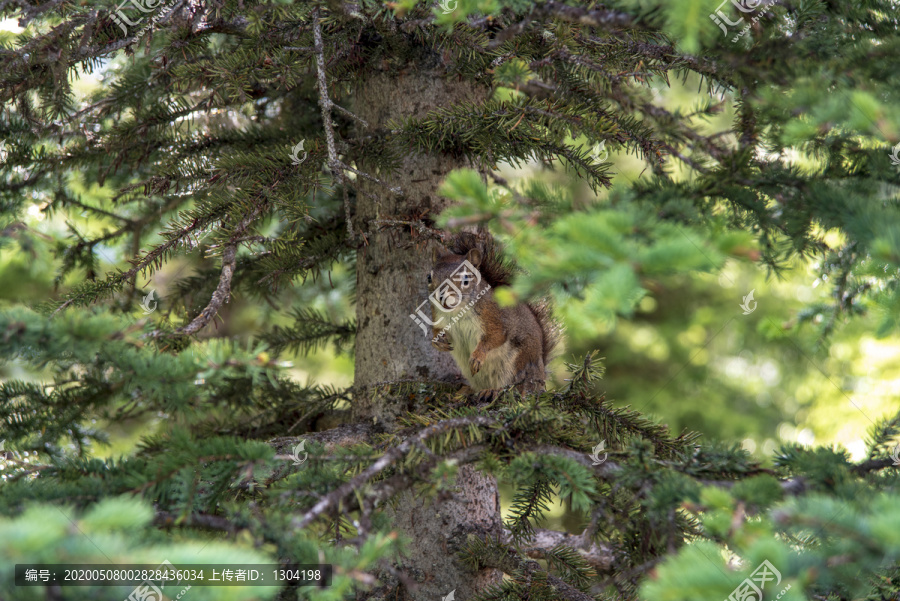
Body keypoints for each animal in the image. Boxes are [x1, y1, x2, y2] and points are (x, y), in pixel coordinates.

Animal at [426, 231, 560, 398]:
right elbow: (436, 331)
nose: (442, 296)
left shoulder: (493, 317)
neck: (456, 312)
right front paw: (437, 342)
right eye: (429, 277)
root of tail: (541, 379)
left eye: (465, 279)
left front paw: (477, 357)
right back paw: (467, 391)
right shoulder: (437, 316)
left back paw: (495, 390)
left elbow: (495, 337)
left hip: (518, 363)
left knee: (516, 388)